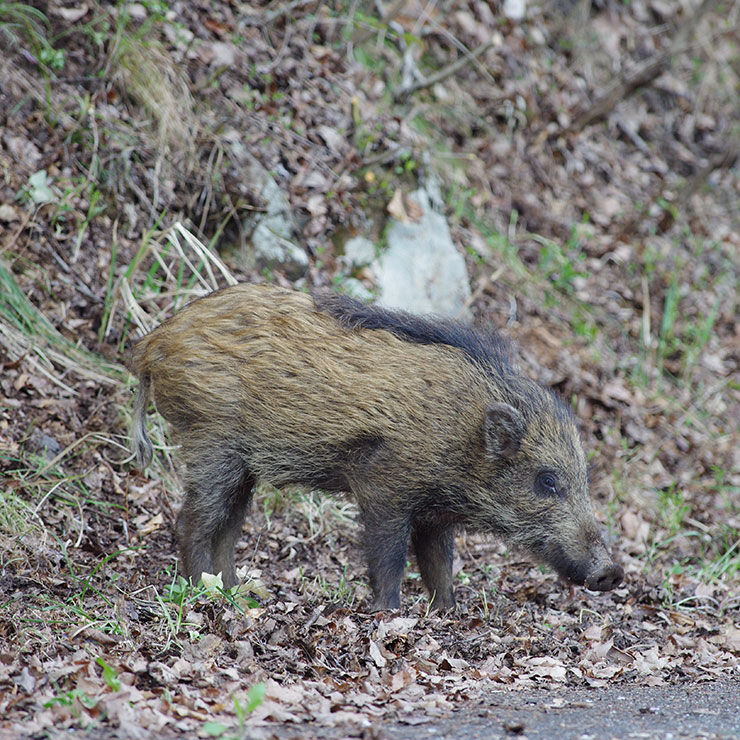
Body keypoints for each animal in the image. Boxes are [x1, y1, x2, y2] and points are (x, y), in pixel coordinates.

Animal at [130, 283, 623, 610]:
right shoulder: (383, 485)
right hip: (212, 441)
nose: (612, 572)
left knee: (228, 527)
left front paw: (447, 612)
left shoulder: (436, 514)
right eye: (547, 481)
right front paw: (390, 613)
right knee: (194, 521)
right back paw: (202, 591)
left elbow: (439, 563)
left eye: (583, 478)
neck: (461, 432)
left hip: (242, 464)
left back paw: (241, 594)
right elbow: (389, 556)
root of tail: (152, 343)